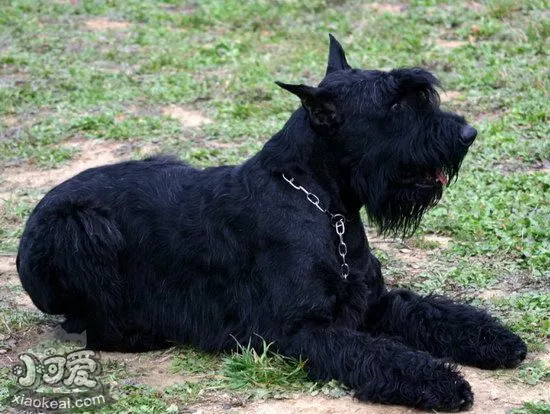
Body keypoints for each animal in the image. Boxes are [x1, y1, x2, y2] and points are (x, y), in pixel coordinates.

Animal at [17, 35, 528, 410]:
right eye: (397, 106)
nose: (468, 133)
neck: (326, 207)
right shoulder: (301, 329)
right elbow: (380, 352)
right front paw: (441, 382)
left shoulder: (373, 302)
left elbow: (434, 312)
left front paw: (495, 339)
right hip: (79, 228)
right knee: (84, 322)